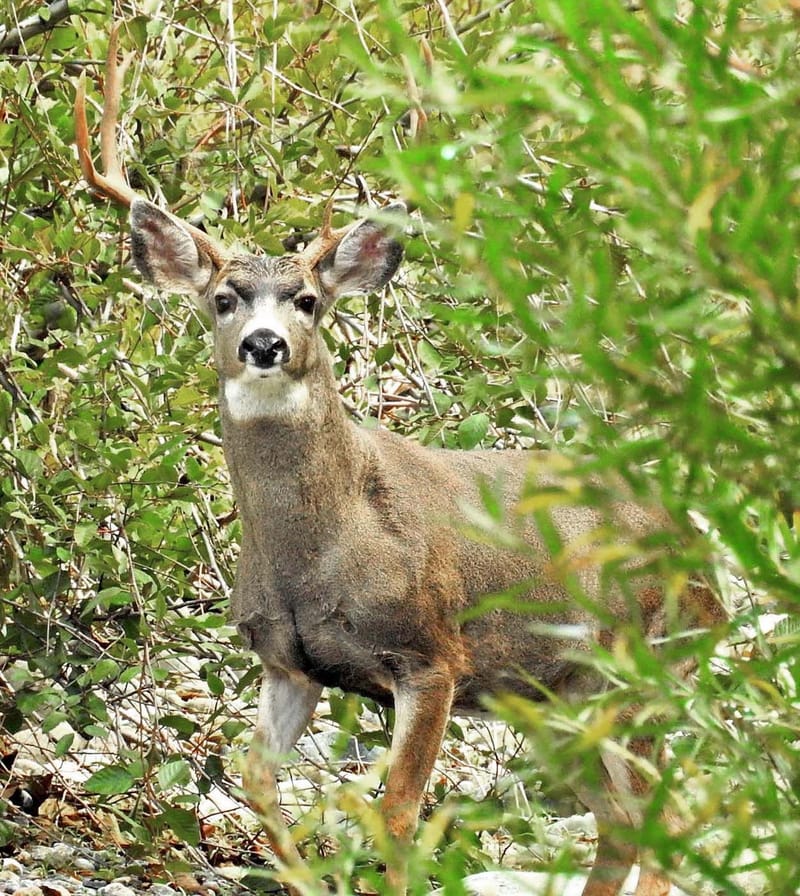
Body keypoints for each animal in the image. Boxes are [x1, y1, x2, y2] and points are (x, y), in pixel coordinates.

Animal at [75, 26, 723, 896]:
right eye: (223, 299)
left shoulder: (432, 654)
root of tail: (706, 567)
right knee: (623, 822)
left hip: (639, 667)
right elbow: (255, 782)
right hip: (557, 699)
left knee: (669, 819)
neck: (316, 554)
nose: (264, 344)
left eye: (309, 301)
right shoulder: (288, 665)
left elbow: (398, 814)